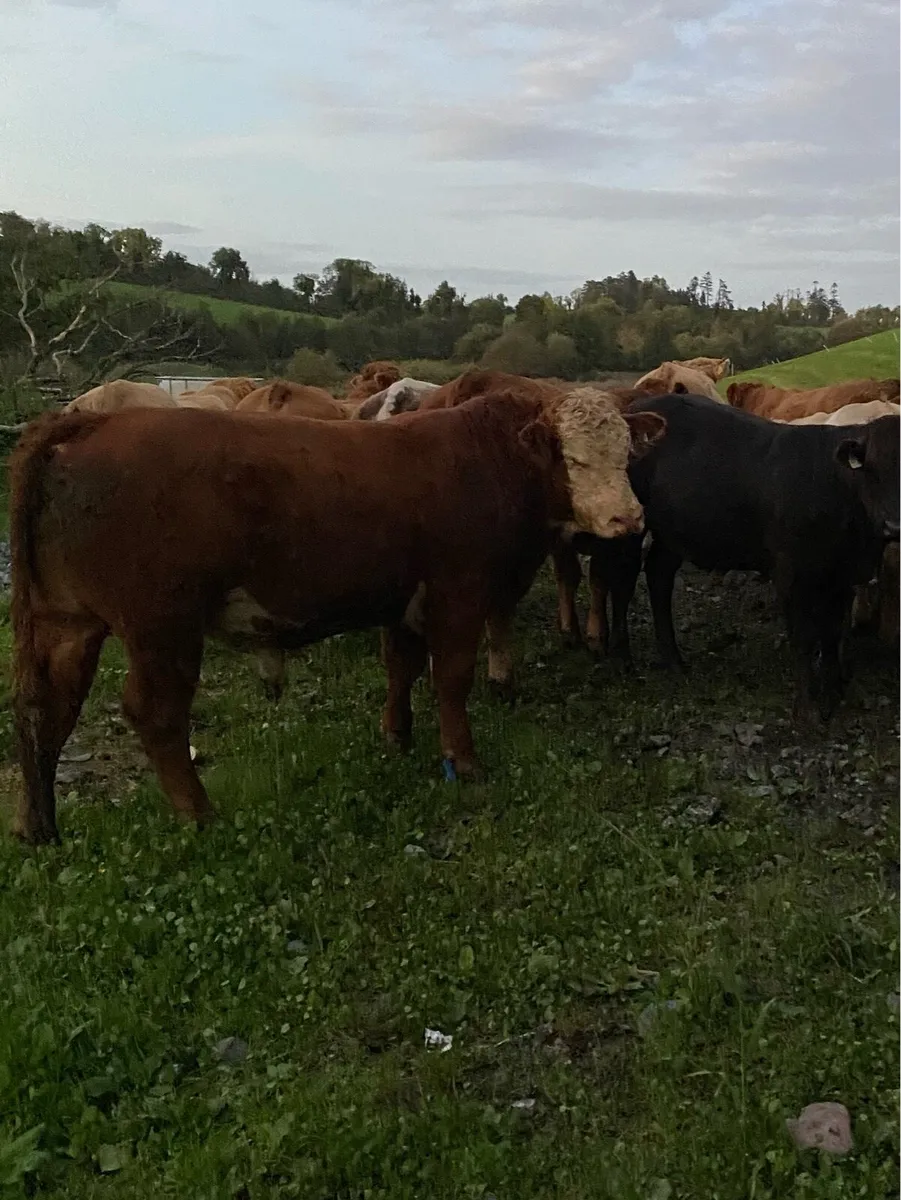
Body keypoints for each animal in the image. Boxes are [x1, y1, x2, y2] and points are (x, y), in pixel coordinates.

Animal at [9, 388, 663, 844]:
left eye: (626, 454)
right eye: (572, 458)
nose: (628, 519)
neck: (488, 461)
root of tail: (88, 422)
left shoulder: (403, 600)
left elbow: (401, 668)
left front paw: (397, 734)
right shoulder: (459, 593)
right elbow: (451, 679)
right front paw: (463, 759)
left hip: (66, 622)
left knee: (45, 709)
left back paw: (39, 827)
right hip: (162, 627)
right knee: (156, 716)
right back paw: (199, 815)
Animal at [586, 394, 899, 720]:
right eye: (873, 469)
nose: (894, 525)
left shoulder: (842, 575)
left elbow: (831, 633)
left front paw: (835, 691)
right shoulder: (790, 573)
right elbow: (804, 637)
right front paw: (808, 708)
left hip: (673, 533)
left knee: (659, 576)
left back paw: (673, 660)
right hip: (630, 525)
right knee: (623, 583)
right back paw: (622, 658)